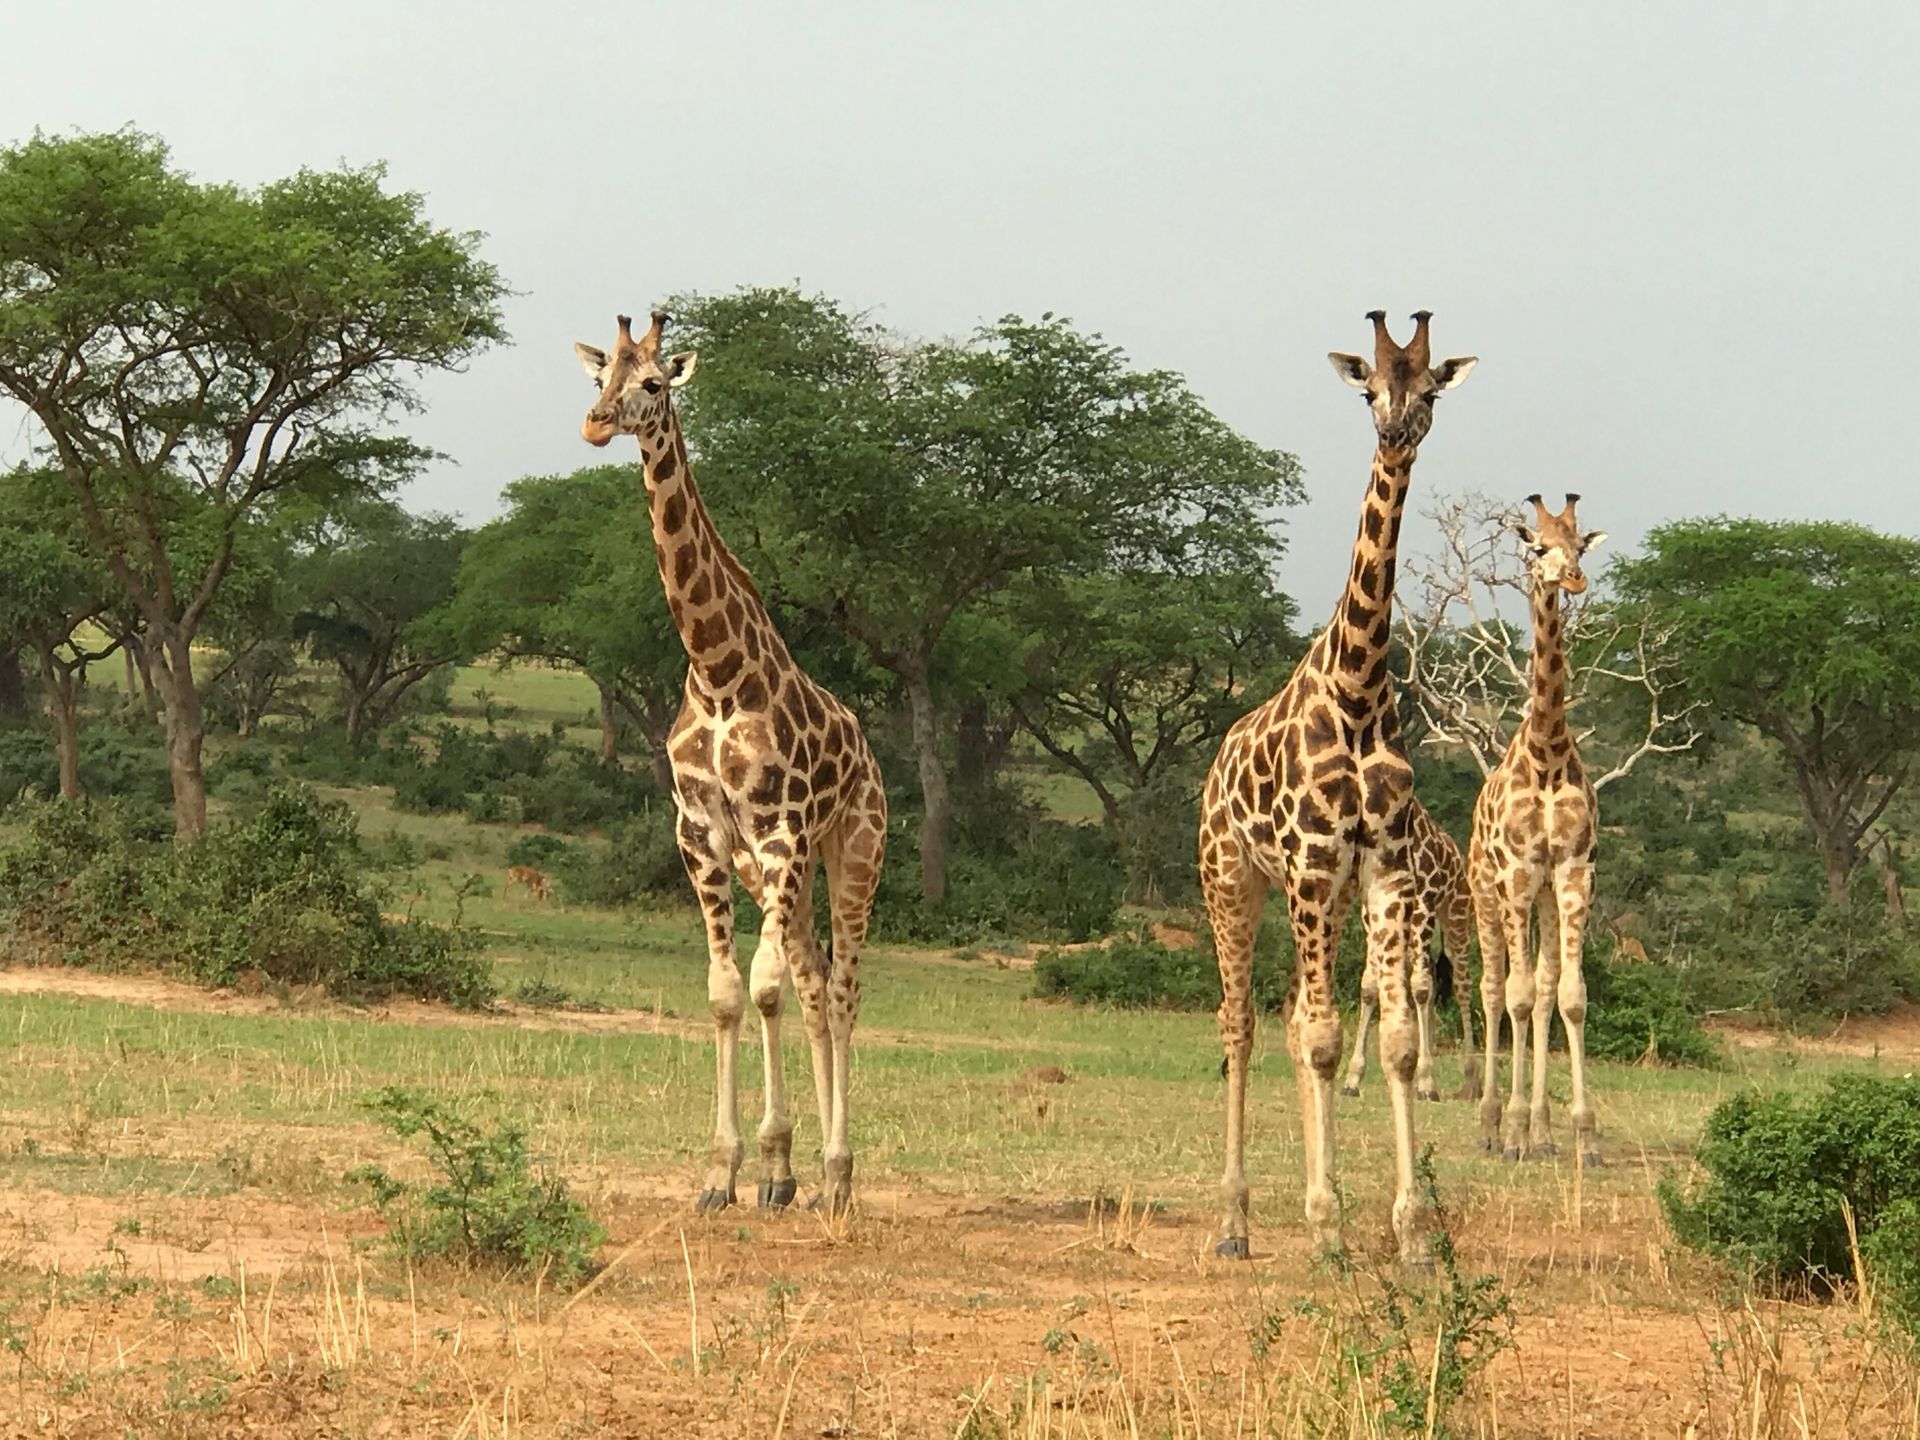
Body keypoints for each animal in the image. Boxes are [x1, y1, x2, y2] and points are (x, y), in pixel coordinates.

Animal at [572, 307, 887, 1221]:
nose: (595, 425)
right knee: (813, 980)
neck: (715, 674)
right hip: (776, 869)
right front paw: (731, 1172)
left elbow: (764, 985)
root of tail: (871, 752)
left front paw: (774, 1165)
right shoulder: (704, 834)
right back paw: (799, 1172)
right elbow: (726, 993)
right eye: (598, 377)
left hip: (852, 850)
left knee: (842, 988)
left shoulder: (781, 829)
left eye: (653, 383)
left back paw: (840, 1174)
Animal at [1344, 802, 1474, 1105]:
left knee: (1461, 986)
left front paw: (1426, 1082)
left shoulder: (1423, 904)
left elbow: (1420, 989)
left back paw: (1470, 1079)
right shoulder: (1372, 910)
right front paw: (1352, 1078)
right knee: (1430, 979)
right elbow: (1370, 986)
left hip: (1456, 919)